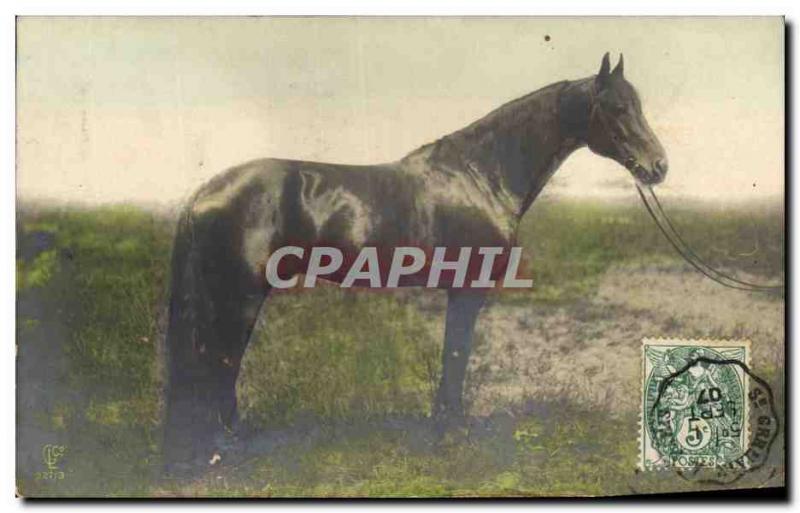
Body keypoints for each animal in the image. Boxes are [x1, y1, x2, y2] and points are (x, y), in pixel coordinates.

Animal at [162, 53, 668, 472]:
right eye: (617, 108)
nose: (659, 167)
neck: (481, 175)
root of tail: (206, 191)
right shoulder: (467, 290)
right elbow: (456, 356)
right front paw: (453, 431)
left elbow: (453, 356)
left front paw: (444, 426)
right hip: (241, 296)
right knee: (219, 361)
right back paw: (225, 447)